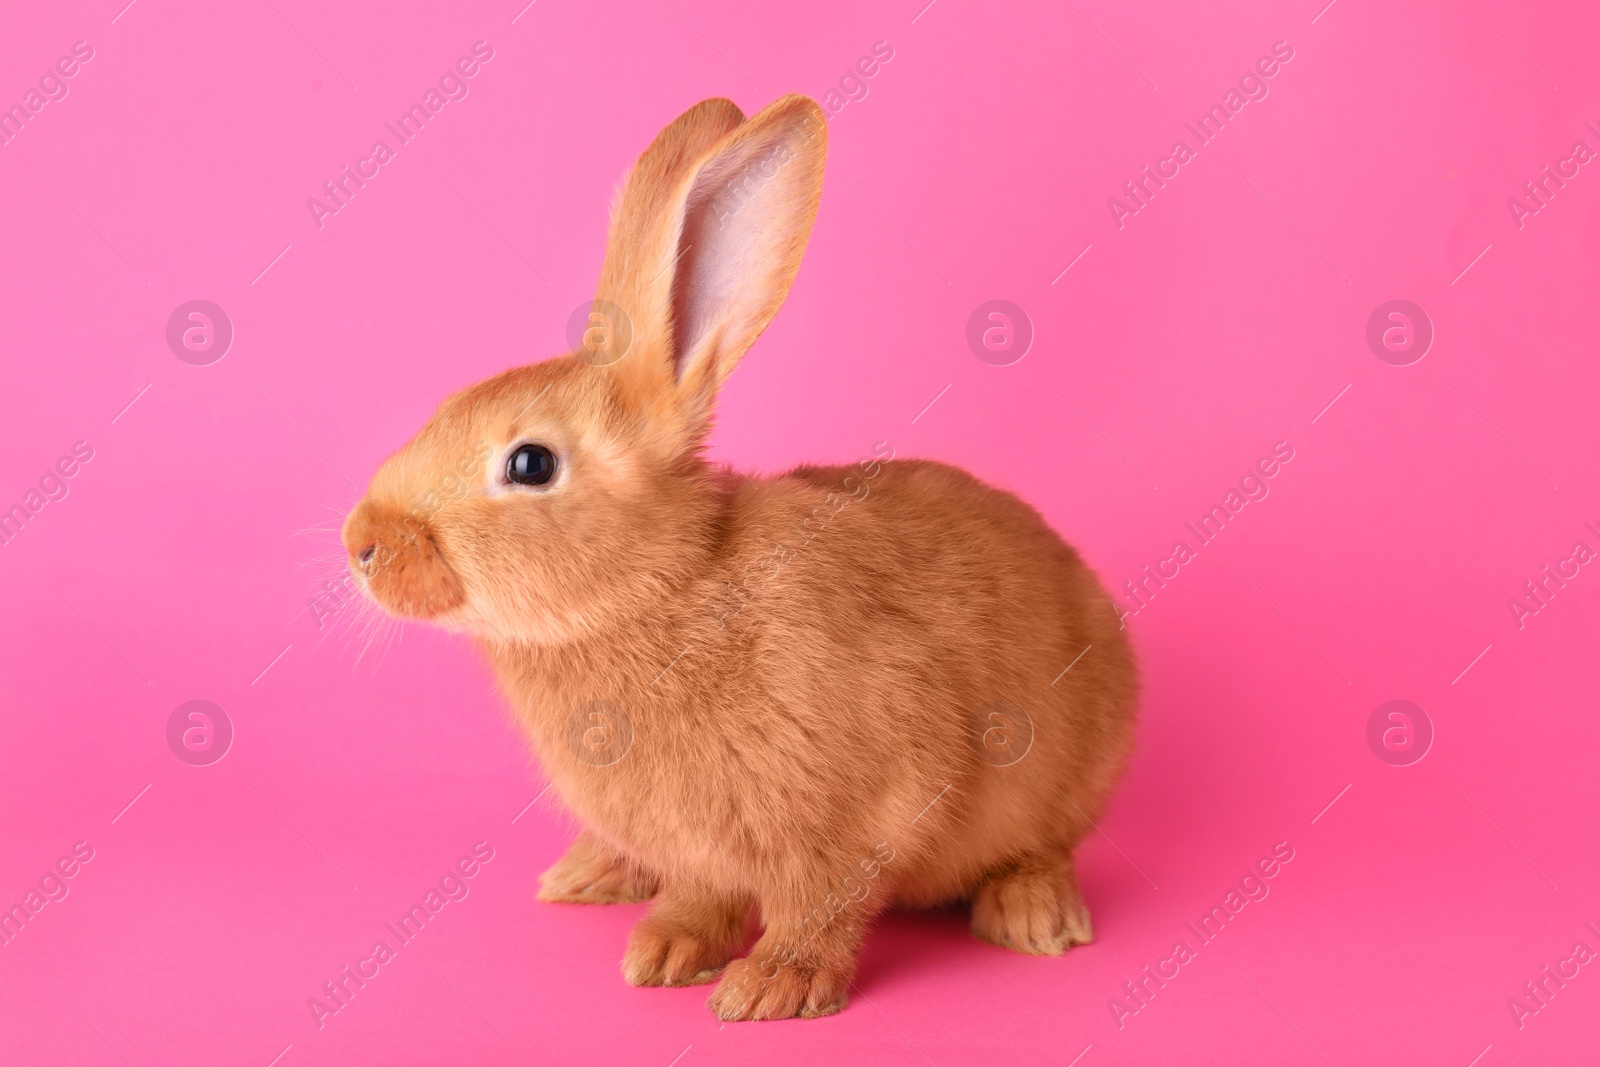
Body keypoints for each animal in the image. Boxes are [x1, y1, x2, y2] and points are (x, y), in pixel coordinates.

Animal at [340, 91, 1139, 1017]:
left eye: (530, 464)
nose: (362, 542)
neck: (659, 588)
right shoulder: (703, 846)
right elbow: (703, 893)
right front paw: (666, 949)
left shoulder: (863, 808)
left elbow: (818, 905)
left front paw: (770, 989)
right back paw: (589, 874)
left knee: (1044, 846)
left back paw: (1035, 916)